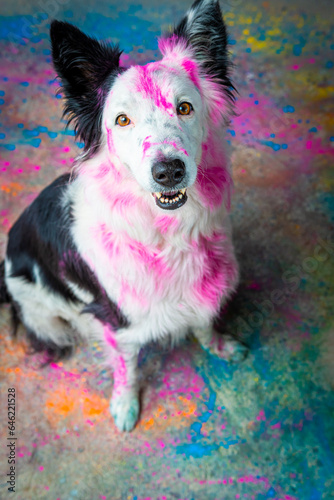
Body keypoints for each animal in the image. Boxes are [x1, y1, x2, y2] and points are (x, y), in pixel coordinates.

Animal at [0, 0, 245, 430]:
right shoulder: (117, 322)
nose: (168, 171)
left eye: (184, 108)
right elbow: (125, 368)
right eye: (122, 120)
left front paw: (218, 345)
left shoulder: (206, 286)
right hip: (41, 311)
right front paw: (126, 406)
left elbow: (204, 319)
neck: (166, 235)